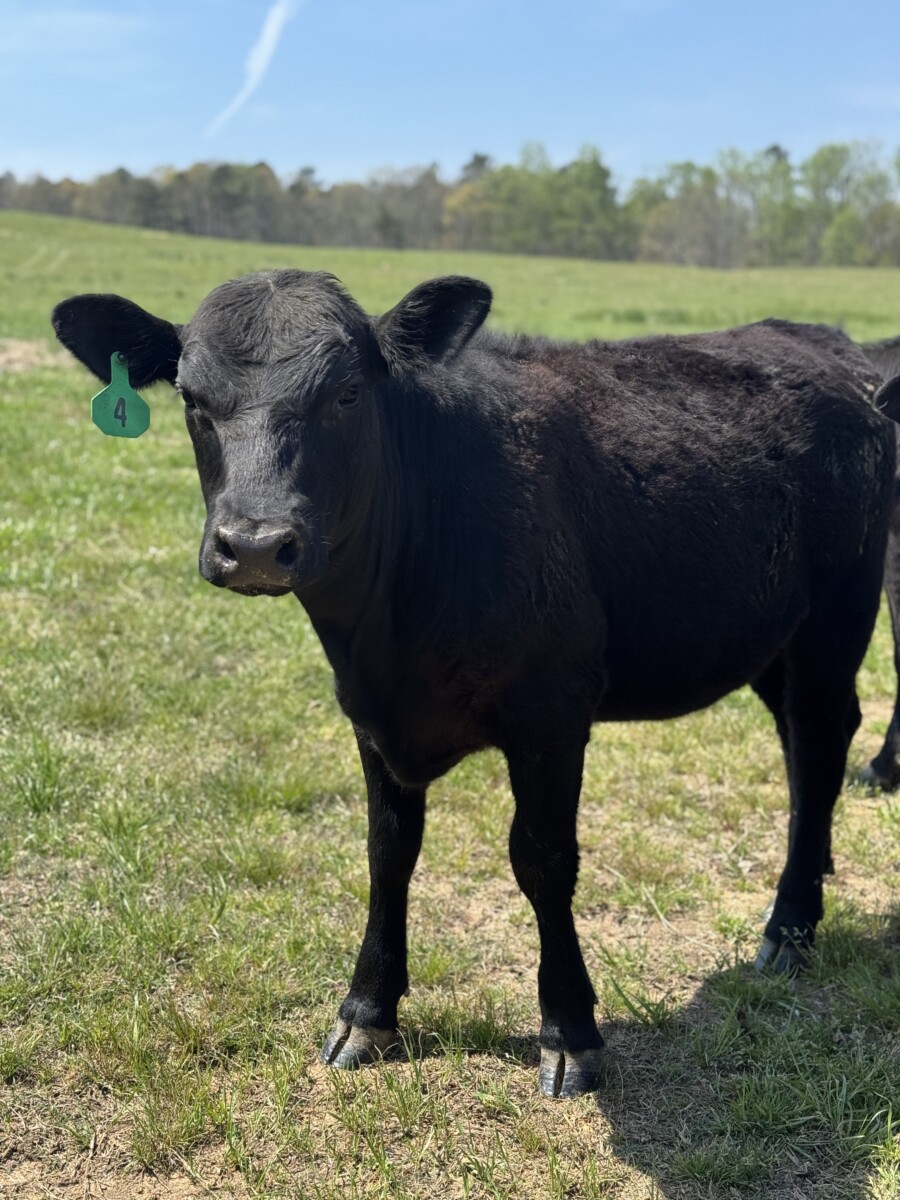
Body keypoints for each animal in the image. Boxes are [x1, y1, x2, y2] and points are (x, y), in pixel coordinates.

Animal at [52, 272, 896, 1098]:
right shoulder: (369, 713)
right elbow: (387, 851)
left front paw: (569, 1030)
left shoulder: (552, 711)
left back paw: (789, 928)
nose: (256, 544)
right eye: (192, 399)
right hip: (772, 638)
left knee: (822, 742)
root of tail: (830, 347)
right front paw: (367, 1012)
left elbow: (544, 859)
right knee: (803, 754)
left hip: (838, 614)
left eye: (347, 393)